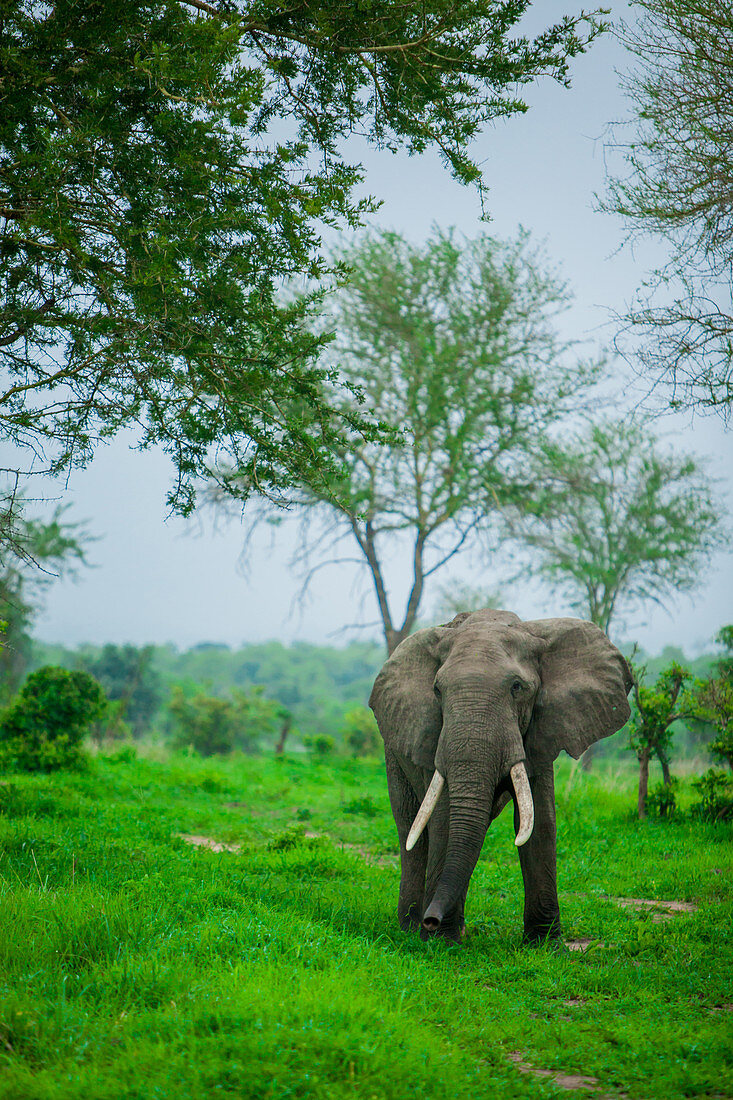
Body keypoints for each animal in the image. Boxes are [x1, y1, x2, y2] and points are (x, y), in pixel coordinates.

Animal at [367, 611, 629, 946]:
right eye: (437, 691)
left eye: (517, 687)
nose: (431, 920)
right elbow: (444, 819)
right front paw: (441, 944)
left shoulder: (542, 730)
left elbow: (540, 821)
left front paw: (546, 946)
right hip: (393, 750)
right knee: (410, 826)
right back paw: (411, 927)